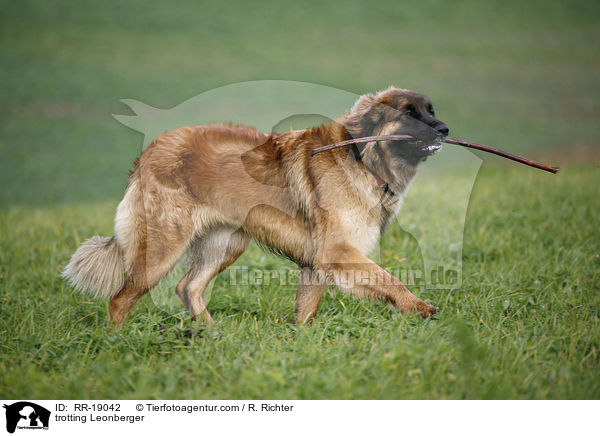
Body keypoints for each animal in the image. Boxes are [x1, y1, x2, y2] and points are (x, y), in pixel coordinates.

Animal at [65, 87, 450, 326]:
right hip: (163, 247)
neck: (364, 159)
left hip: (226, 242)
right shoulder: (338, 251)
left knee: (188, 287)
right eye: (409, 114)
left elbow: (306, 310)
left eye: (431, 111)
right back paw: (117, 341)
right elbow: (390, 280)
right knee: (121, 299)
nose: (445, 129)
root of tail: (150, 151)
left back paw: (212, 335)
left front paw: (302, 340)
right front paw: (419, 308)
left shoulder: (316, 263)